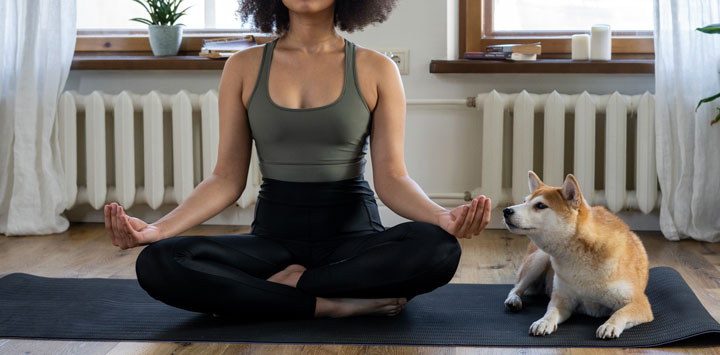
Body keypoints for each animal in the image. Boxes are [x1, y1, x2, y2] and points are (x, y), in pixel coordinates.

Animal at [500, 172, 652, 340]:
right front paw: (543, 322)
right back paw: (513, 300)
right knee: (516, 288)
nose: (506, 210)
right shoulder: (562, 300)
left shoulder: (640, 303)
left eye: (540, 205)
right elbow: (550, 312)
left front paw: (610, 325)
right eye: (524, 201)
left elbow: (620, 313)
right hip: (538, 259)